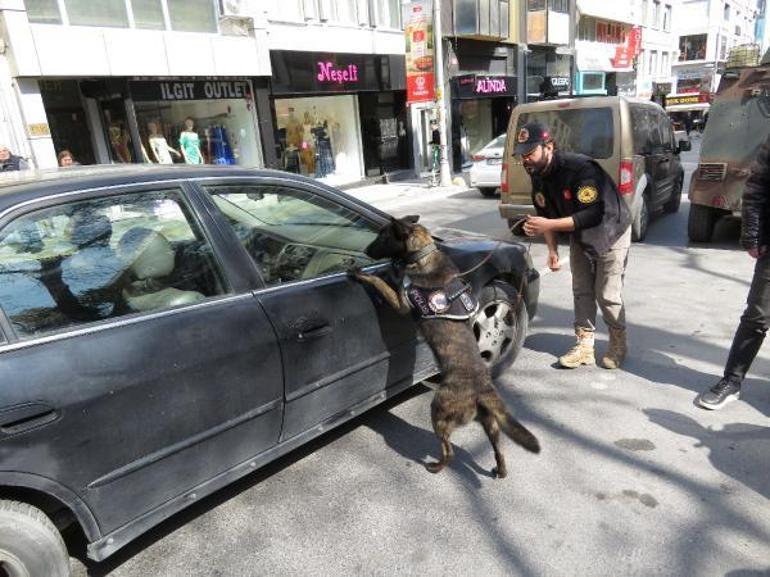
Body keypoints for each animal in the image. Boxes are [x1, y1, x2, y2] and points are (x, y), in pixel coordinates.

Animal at [352, 214, 536, 474]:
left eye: (383, 236)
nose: (366, 250)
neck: (423, 253)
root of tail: (482, 390)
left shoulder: (401, 302)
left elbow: (380, 284)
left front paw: (362, 273)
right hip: (489, 423)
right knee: (498, 449)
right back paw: (500, 470)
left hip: (439, 411)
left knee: (449, 451)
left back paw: (436, 466)